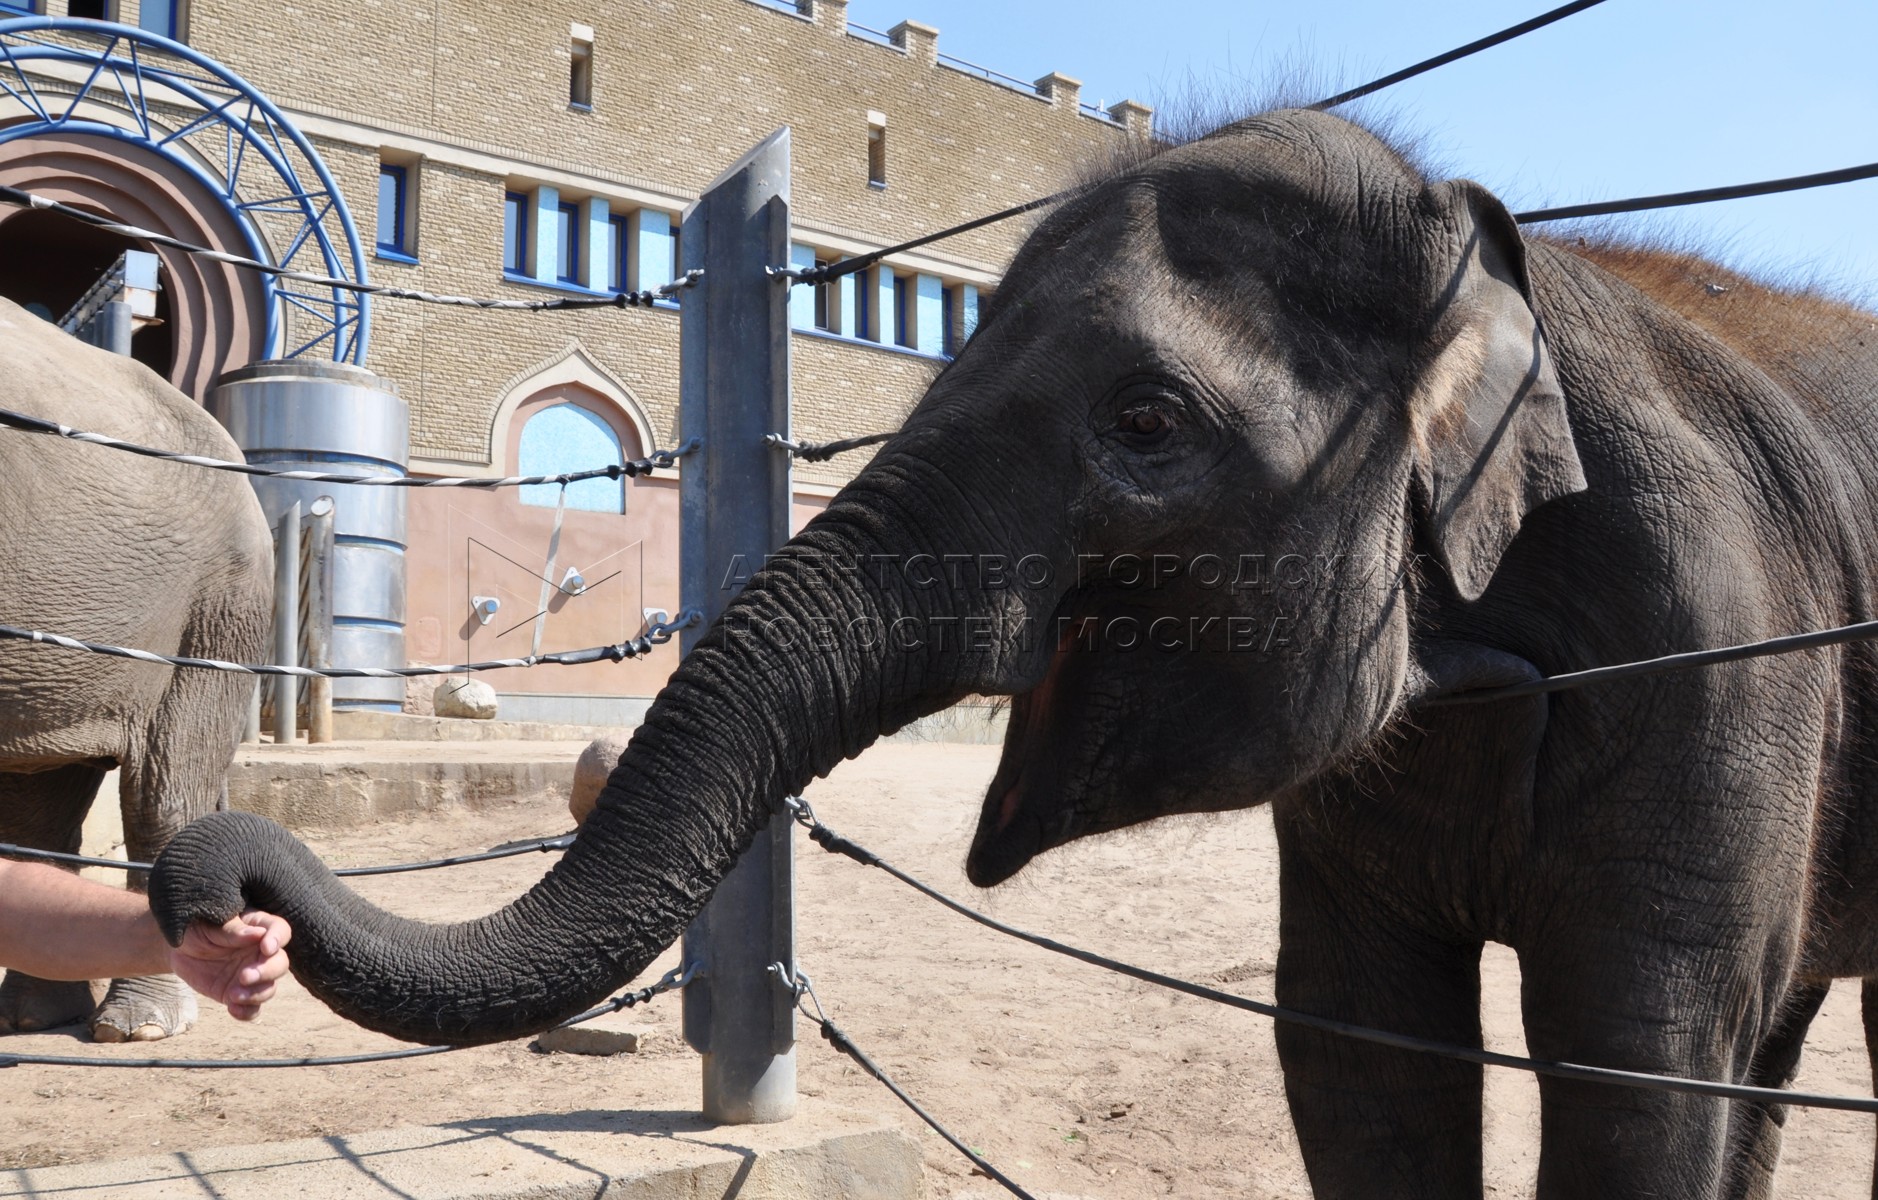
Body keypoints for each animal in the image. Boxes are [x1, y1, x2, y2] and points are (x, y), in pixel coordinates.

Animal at [153, 107, 1878, 1194]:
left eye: (1146, 423)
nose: (217, 885)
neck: (1485, 257)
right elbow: (1358, 1060)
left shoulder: (1720, 641)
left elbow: (1636, 1065)